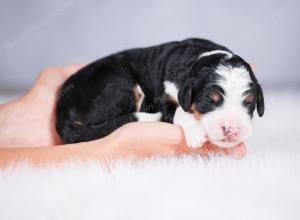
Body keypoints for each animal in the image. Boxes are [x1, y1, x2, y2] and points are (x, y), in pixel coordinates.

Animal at [55, 38, 264, 148]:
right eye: (209, 100)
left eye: (249, 101)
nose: (233, 130)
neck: (196, 58)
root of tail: (61, 114)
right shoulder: (160, 97)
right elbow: (177, 110)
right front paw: (195, 133)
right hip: (118, 80)